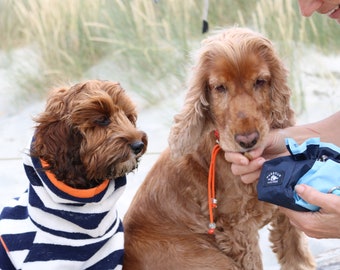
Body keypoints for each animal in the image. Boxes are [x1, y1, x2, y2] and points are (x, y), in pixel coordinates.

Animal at [123, 28, 316, 270]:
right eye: (220, 88)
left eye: (260, 81)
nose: (247, 140)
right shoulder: (239, 227)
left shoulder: (283, 211)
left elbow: (296, 256)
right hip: (213, 259)